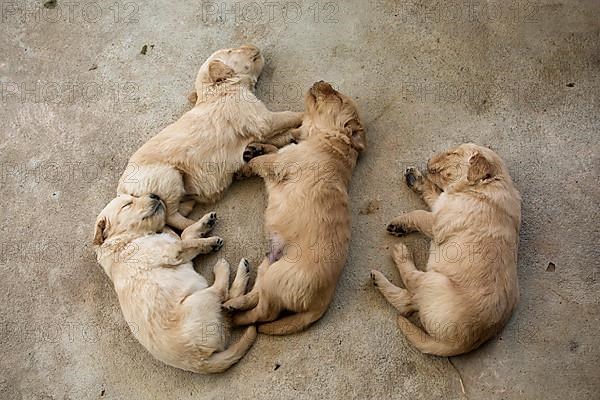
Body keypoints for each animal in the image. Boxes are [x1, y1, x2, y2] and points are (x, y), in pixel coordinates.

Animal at [92, 195, 256, 376]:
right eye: (127, 205)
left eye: (134, 197)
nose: (154, 195)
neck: (129, 238)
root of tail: (200, 363)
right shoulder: (171, 251)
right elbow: (190, 243)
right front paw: (209, 241)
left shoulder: (174, 245)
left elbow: (186, 234)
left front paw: (205, 223)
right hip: (198, 300)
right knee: (221, 294)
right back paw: (223, 268)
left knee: (228, 306)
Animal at [116, 45, 302, 230]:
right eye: (230, 51)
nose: (252, 46)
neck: (218, 89)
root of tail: (122, 191)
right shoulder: (261, 120)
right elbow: (289, 116)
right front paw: (304, 116)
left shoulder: (255, 128)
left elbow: (279, 136)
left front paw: (285, 138)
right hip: (167, 178)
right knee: (169, 216)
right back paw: (200, 224)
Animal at [223, 81, 366, 334]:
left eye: (338, 98)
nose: (323, 81)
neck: (325, 139)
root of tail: (321, 303)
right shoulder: (281, 156)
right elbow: (270, 149)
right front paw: (256, 148)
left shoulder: (281, 163)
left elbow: (262, 161)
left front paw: (246, 164)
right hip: (268, 265)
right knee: (256, 296)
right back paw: (235, 304)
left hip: (277, 278)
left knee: (264, 314)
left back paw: (236, 319)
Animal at [370, 144, 520, 356]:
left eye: (453, 153)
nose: (428, 160)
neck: (481, 187)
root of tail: (460, 345)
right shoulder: (442, 202)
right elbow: (432, 192)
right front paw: (416, 179)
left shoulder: (437, 221)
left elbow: (419, 214)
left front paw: (400, 222)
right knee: (409, 301)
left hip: (434, 282)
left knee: (408, 293)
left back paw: (400, 256)